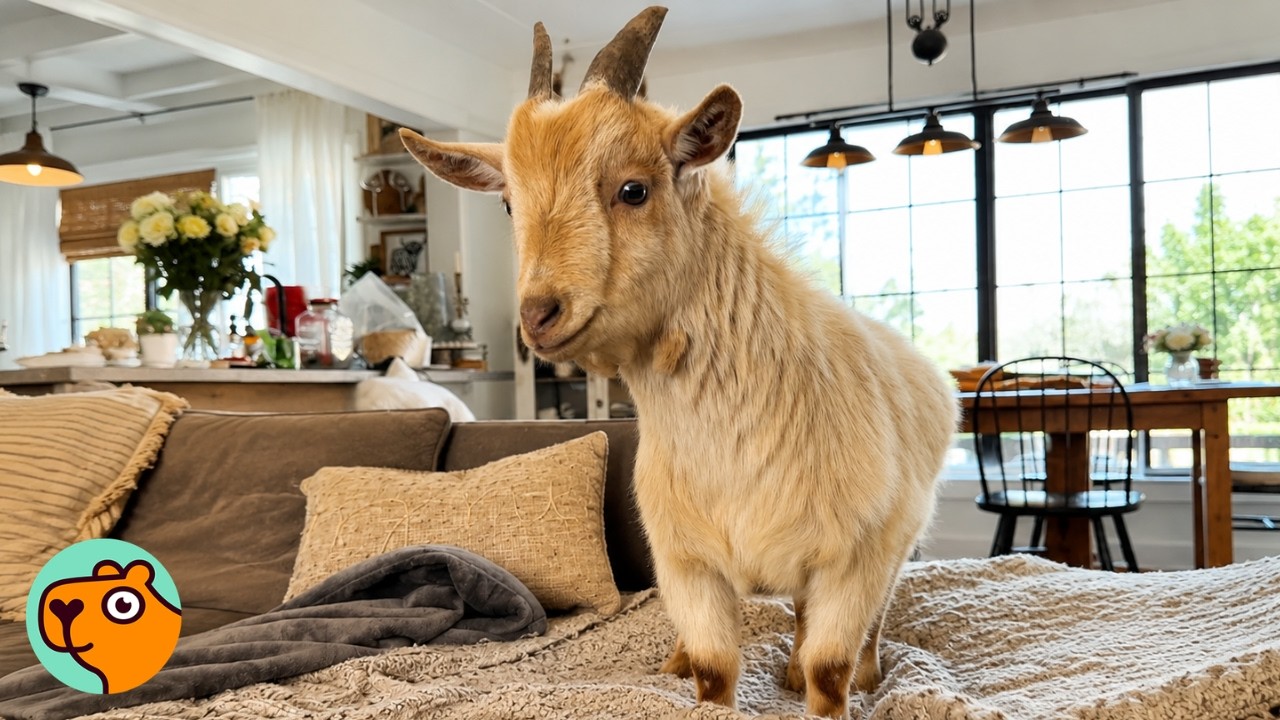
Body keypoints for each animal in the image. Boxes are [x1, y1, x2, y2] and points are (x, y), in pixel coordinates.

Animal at [400, 7, 958, 718]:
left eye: (634, 188)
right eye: (506, 202)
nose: (538, 316)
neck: (737, 444)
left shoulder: (855, 560)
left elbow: (828, 668)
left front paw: (837, 684)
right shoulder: (687, 566)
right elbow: (716, 670)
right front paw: (699, 674)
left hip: (900, 540)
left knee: (865, 622)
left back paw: (862, 672)